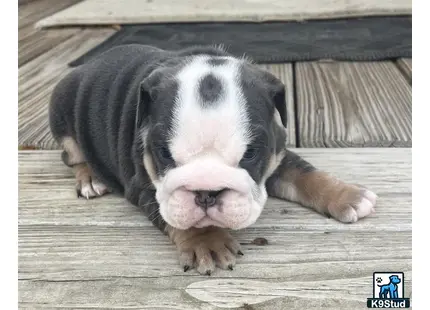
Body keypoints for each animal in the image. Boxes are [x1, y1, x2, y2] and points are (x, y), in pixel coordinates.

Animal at [48, 43, 374, 274]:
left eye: (251, 153)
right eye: (164, 153)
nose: (207, 194)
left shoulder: (277, 151)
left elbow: (303, 172)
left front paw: (348, 195)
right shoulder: (144, 185)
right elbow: (181, 215)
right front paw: (207, 241)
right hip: (62, 111)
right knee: (71, 155)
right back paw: (90, 177)